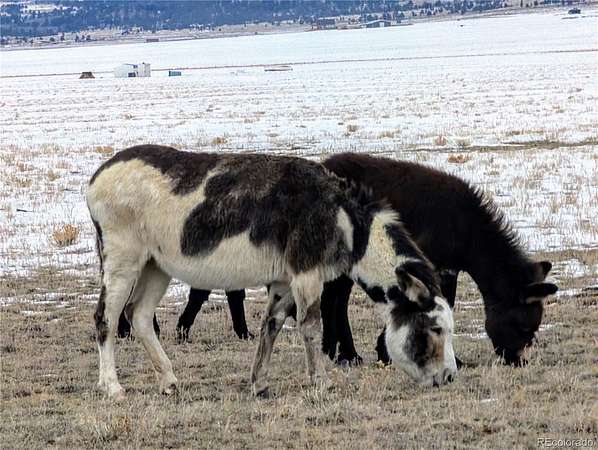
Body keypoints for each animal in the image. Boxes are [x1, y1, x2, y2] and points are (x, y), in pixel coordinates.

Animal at [88, 145, 457, 399]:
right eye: (435, 329)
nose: (450, 377)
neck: (346, 220)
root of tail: (99, 174)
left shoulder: (284, 282)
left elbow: (272, 325)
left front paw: (260, 384)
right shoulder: (307, 275)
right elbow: (310, 326)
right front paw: (320, 383)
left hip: (155, 267)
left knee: (138, 316)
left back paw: (169, 381)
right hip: (123, 261)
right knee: (106, 317)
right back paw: (112, 386)